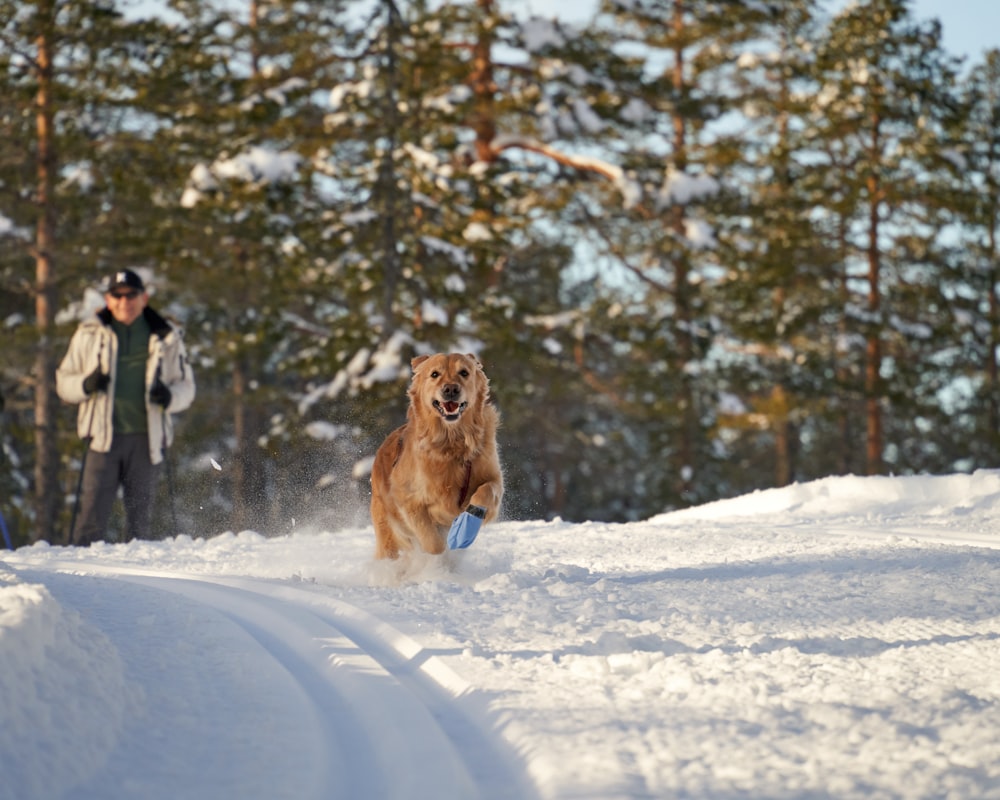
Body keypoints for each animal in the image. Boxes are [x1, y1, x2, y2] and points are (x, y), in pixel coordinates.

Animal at [372, 354, 504, 560]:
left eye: (464, 372)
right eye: (435, 374)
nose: (450, 389)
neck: (452, 443)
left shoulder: (494, 477)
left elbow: (486, 491)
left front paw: (464, 529)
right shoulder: (406, 498)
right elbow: (434, 543)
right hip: (386, 534)